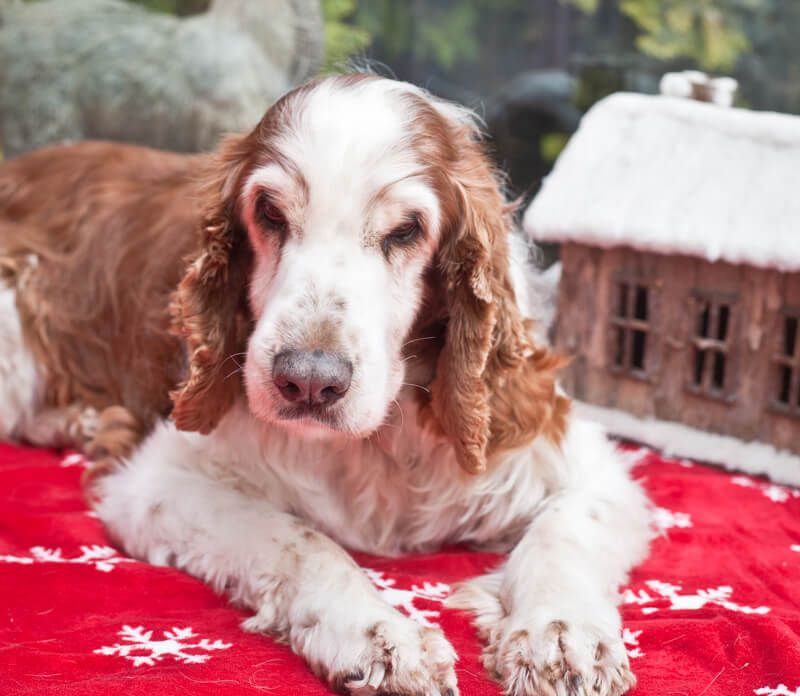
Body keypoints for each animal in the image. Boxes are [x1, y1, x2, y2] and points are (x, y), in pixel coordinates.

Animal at [0, 73, 648, 692]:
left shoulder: (573, 463)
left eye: (406, 230)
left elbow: (563, 532)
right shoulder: (159, 482)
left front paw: (561, 634)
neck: (379, 443)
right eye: (269, 213)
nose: (308, 382)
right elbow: (301, 541)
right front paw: (376, 633)